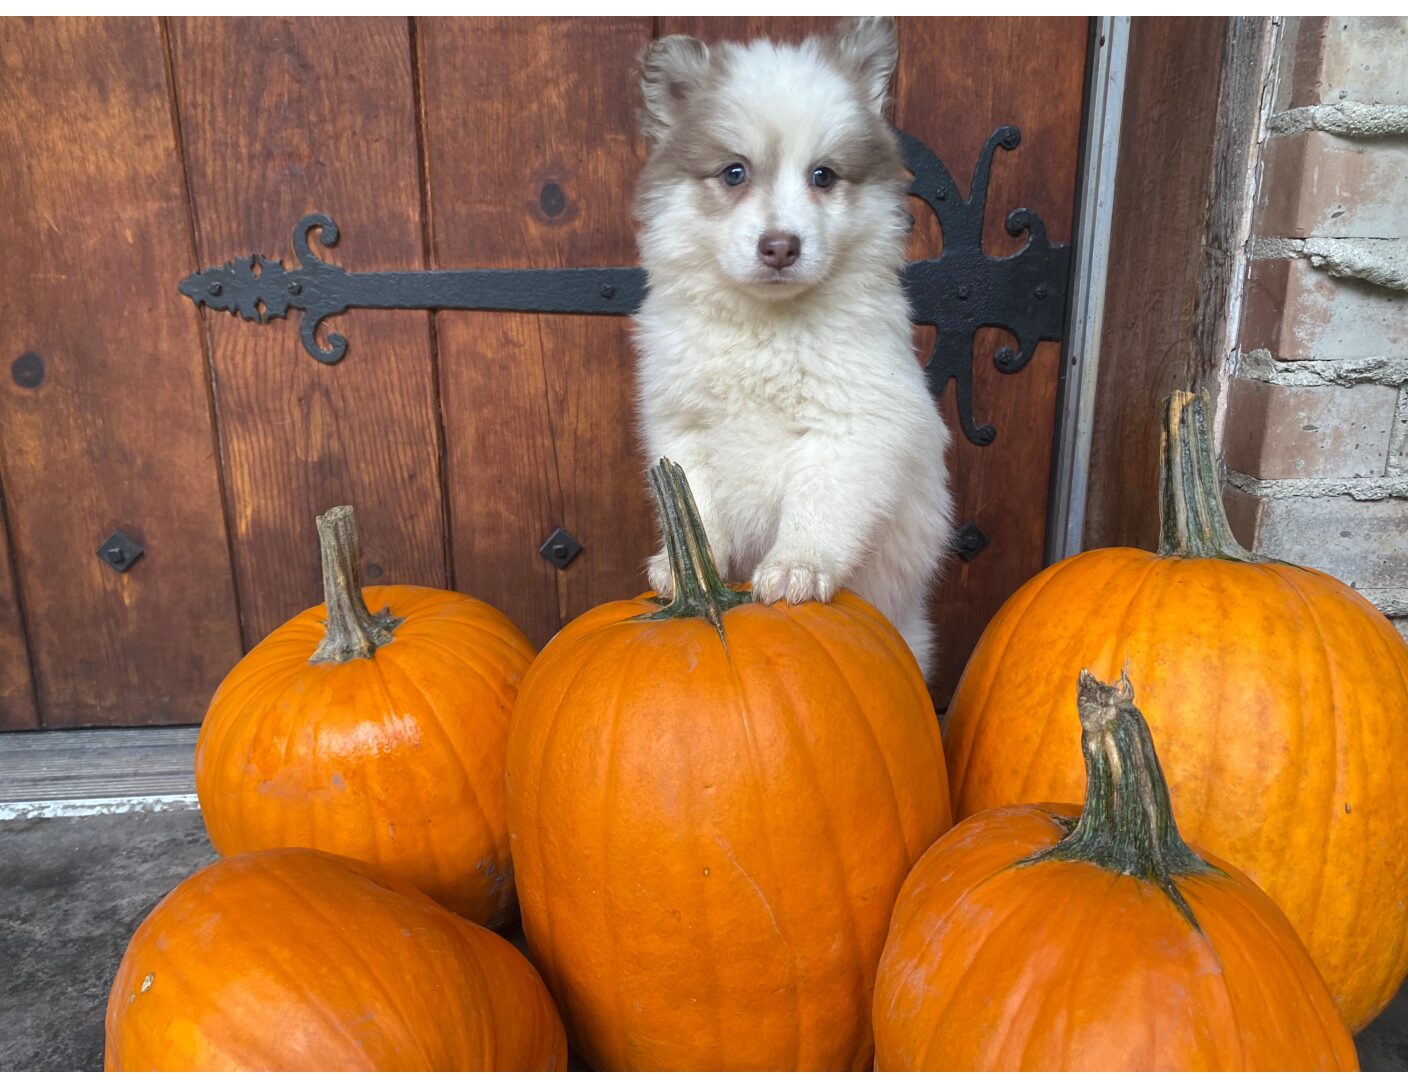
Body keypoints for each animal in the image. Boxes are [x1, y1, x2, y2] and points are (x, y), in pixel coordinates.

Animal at [630, 16, 951, 675]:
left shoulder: (849, 430)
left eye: (823, 175)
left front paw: (796, 567)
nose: (781, 246)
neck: (767, 328)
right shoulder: (683, 426)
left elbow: (819, 508)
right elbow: (696, 501)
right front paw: (680, 567)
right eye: (734, 172)